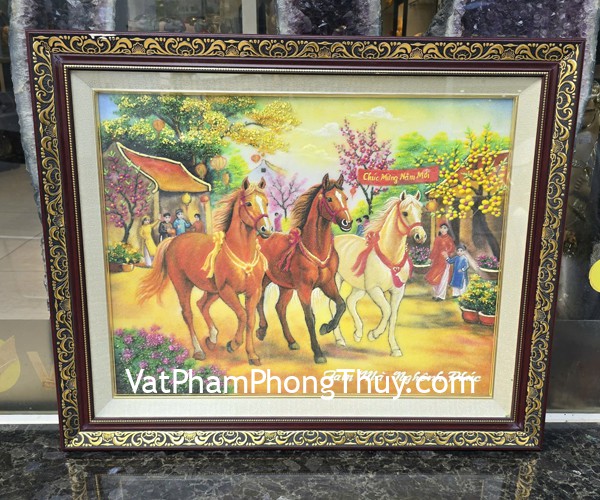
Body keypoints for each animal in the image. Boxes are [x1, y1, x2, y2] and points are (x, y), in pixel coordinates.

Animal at [137, 178, 272, 365]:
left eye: (266, 203)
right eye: (249, 203)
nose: (267, 230)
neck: (242, 254)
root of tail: (174, 240)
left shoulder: (254, 291)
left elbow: (250, 320)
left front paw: (252, 355)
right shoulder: (227, 291)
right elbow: (242, 315)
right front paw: (233, 344)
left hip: (212, 290)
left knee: (202, 304)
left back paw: (212, 338)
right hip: (183, 285)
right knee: (188, 314)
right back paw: (199, 350)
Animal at [255, 174, 353, 364]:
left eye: (345, 197)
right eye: (329, 199)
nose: (347, 222)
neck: (317, 249)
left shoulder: (328, 284)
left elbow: (341, 305)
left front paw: (326, 327)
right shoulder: (304, 289)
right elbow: (310, 318)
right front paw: (318, 353)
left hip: (284, 286)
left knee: (279, 308)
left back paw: (291, 341)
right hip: (263, 279)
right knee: (259, 300)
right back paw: (262, 330)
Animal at [331, 191, 427, 357]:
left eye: (421, 212)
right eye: (405, 213)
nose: (420, 236)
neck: (390, 257)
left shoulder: (398, 291)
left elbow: (393, 316)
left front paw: (395, 348)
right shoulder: (374, 290)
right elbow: (387, 310)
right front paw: (373, 334)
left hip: (359, 287)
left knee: (350, 301)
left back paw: (358, 333)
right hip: (336, 280)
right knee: (335, 304)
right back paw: (340, 339)